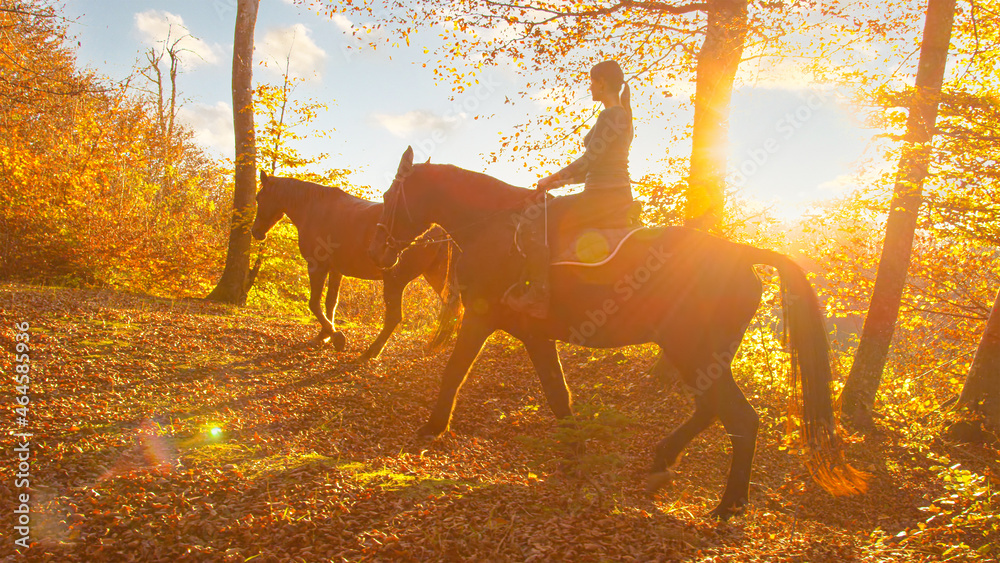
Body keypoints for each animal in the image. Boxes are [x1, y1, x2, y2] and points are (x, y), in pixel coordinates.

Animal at [254, 170, 464, 362]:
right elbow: (330, 303)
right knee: (453, 307)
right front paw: (324, 336)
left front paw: (336, 337)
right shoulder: (335, 270)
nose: (256, 232)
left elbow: (314, 303)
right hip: (435, 276)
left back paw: (371, 351)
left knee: (394, 317)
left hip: (395, 281)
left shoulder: (317, 266)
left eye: (258, 198)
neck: (314, 208)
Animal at [368, 149, 868, 520]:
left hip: (690, 348)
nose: (380, 252)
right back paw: (664, 462)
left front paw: (431, 427)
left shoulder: (480, 319)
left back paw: (728, 504)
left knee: (740, 418)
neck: (495, 229)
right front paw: (575, 454)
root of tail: (741, 253)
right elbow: (558, 394)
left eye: (393, 192)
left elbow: (454, 372)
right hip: (702, 352)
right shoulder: (535, 336)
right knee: (711, 408)